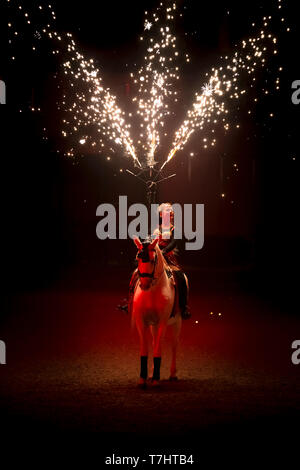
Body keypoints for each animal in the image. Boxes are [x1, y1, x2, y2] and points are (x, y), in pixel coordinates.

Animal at [132, 237, 186, 388]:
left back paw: (172, 374)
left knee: (173, 345)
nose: (144, 284)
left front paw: (156, 379)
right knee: (155, 341)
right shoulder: (141, 322)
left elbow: (158, 348)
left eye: (152, 260)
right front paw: (143, 378)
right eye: (137, 258)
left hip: (177, 322)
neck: (152, 291)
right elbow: (145, 348)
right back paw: (151, 373)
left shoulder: (162, 321)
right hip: (154, 325)